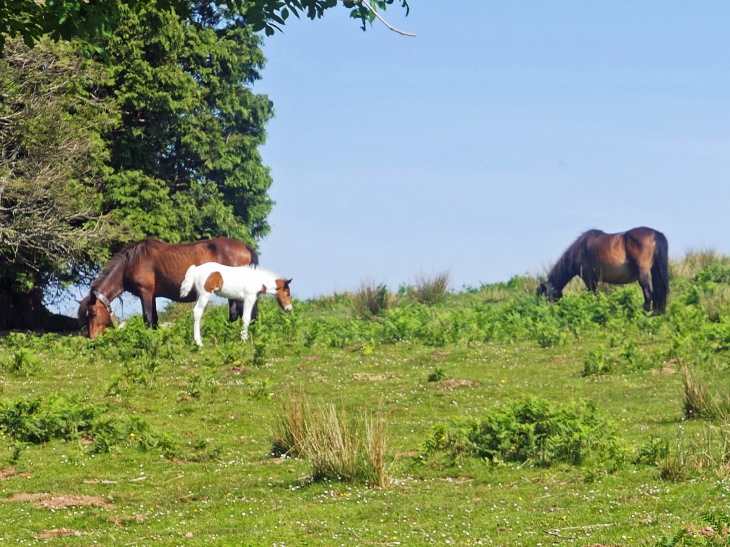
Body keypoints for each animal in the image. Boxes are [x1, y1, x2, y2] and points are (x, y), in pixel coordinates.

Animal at [77, 239, 258, 338]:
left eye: (93, 314)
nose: (92, 338)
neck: (130, 263)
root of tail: (244, 246)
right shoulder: (153, 296)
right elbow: (155, 320)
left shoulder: (145, 293)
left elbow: (148, 319)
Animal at [536, 226, 664, 312]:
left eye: (546, 297)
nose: (550, 311)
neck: (579, 251)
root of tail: (655, 234)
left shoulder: (589, 280)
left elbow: (594, 296)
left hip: (643, 275)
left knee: (648, 293)